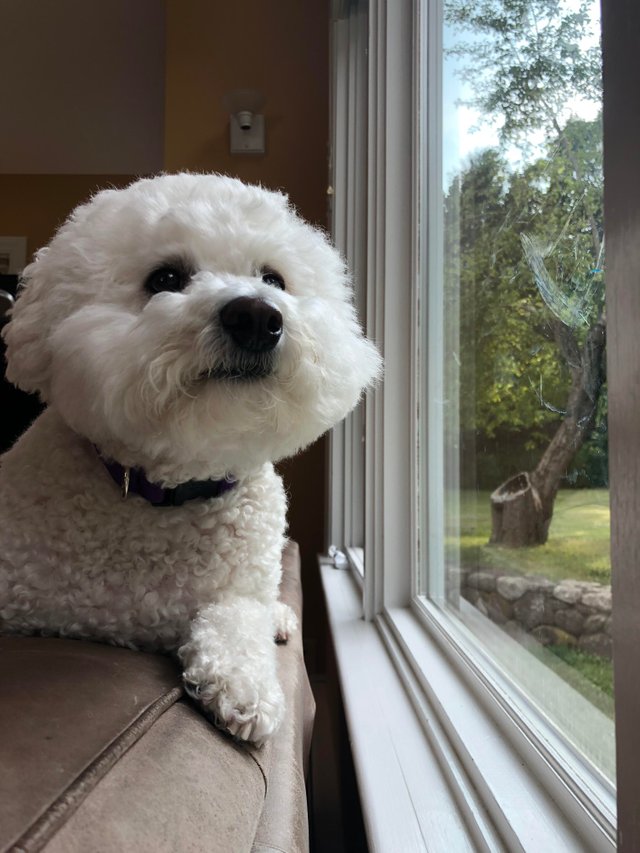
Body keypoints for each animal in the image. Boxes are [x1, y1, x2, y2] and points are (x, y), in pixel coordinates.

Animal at [0, 176, 380, 744]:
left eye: (274, 278)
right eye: (166, 278)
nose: (257, 316)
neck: (173, 490)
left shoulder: (241, 587)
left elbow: (237, 618)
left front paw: (244, 684)